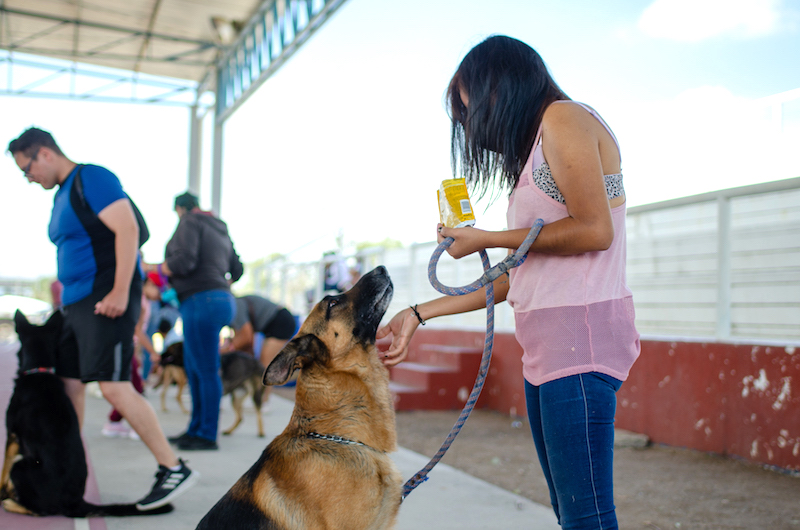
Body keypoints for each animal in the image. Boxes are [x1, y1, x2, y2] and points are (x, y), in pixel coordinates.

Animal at [0, 310, 172, 516]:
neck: (39, 370)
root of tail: (76, 502)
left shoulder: (12, 434)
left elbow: (3, 467)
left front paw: (1, 490)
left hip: (20, 467)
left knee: (36, 509)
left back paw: (9, 501)